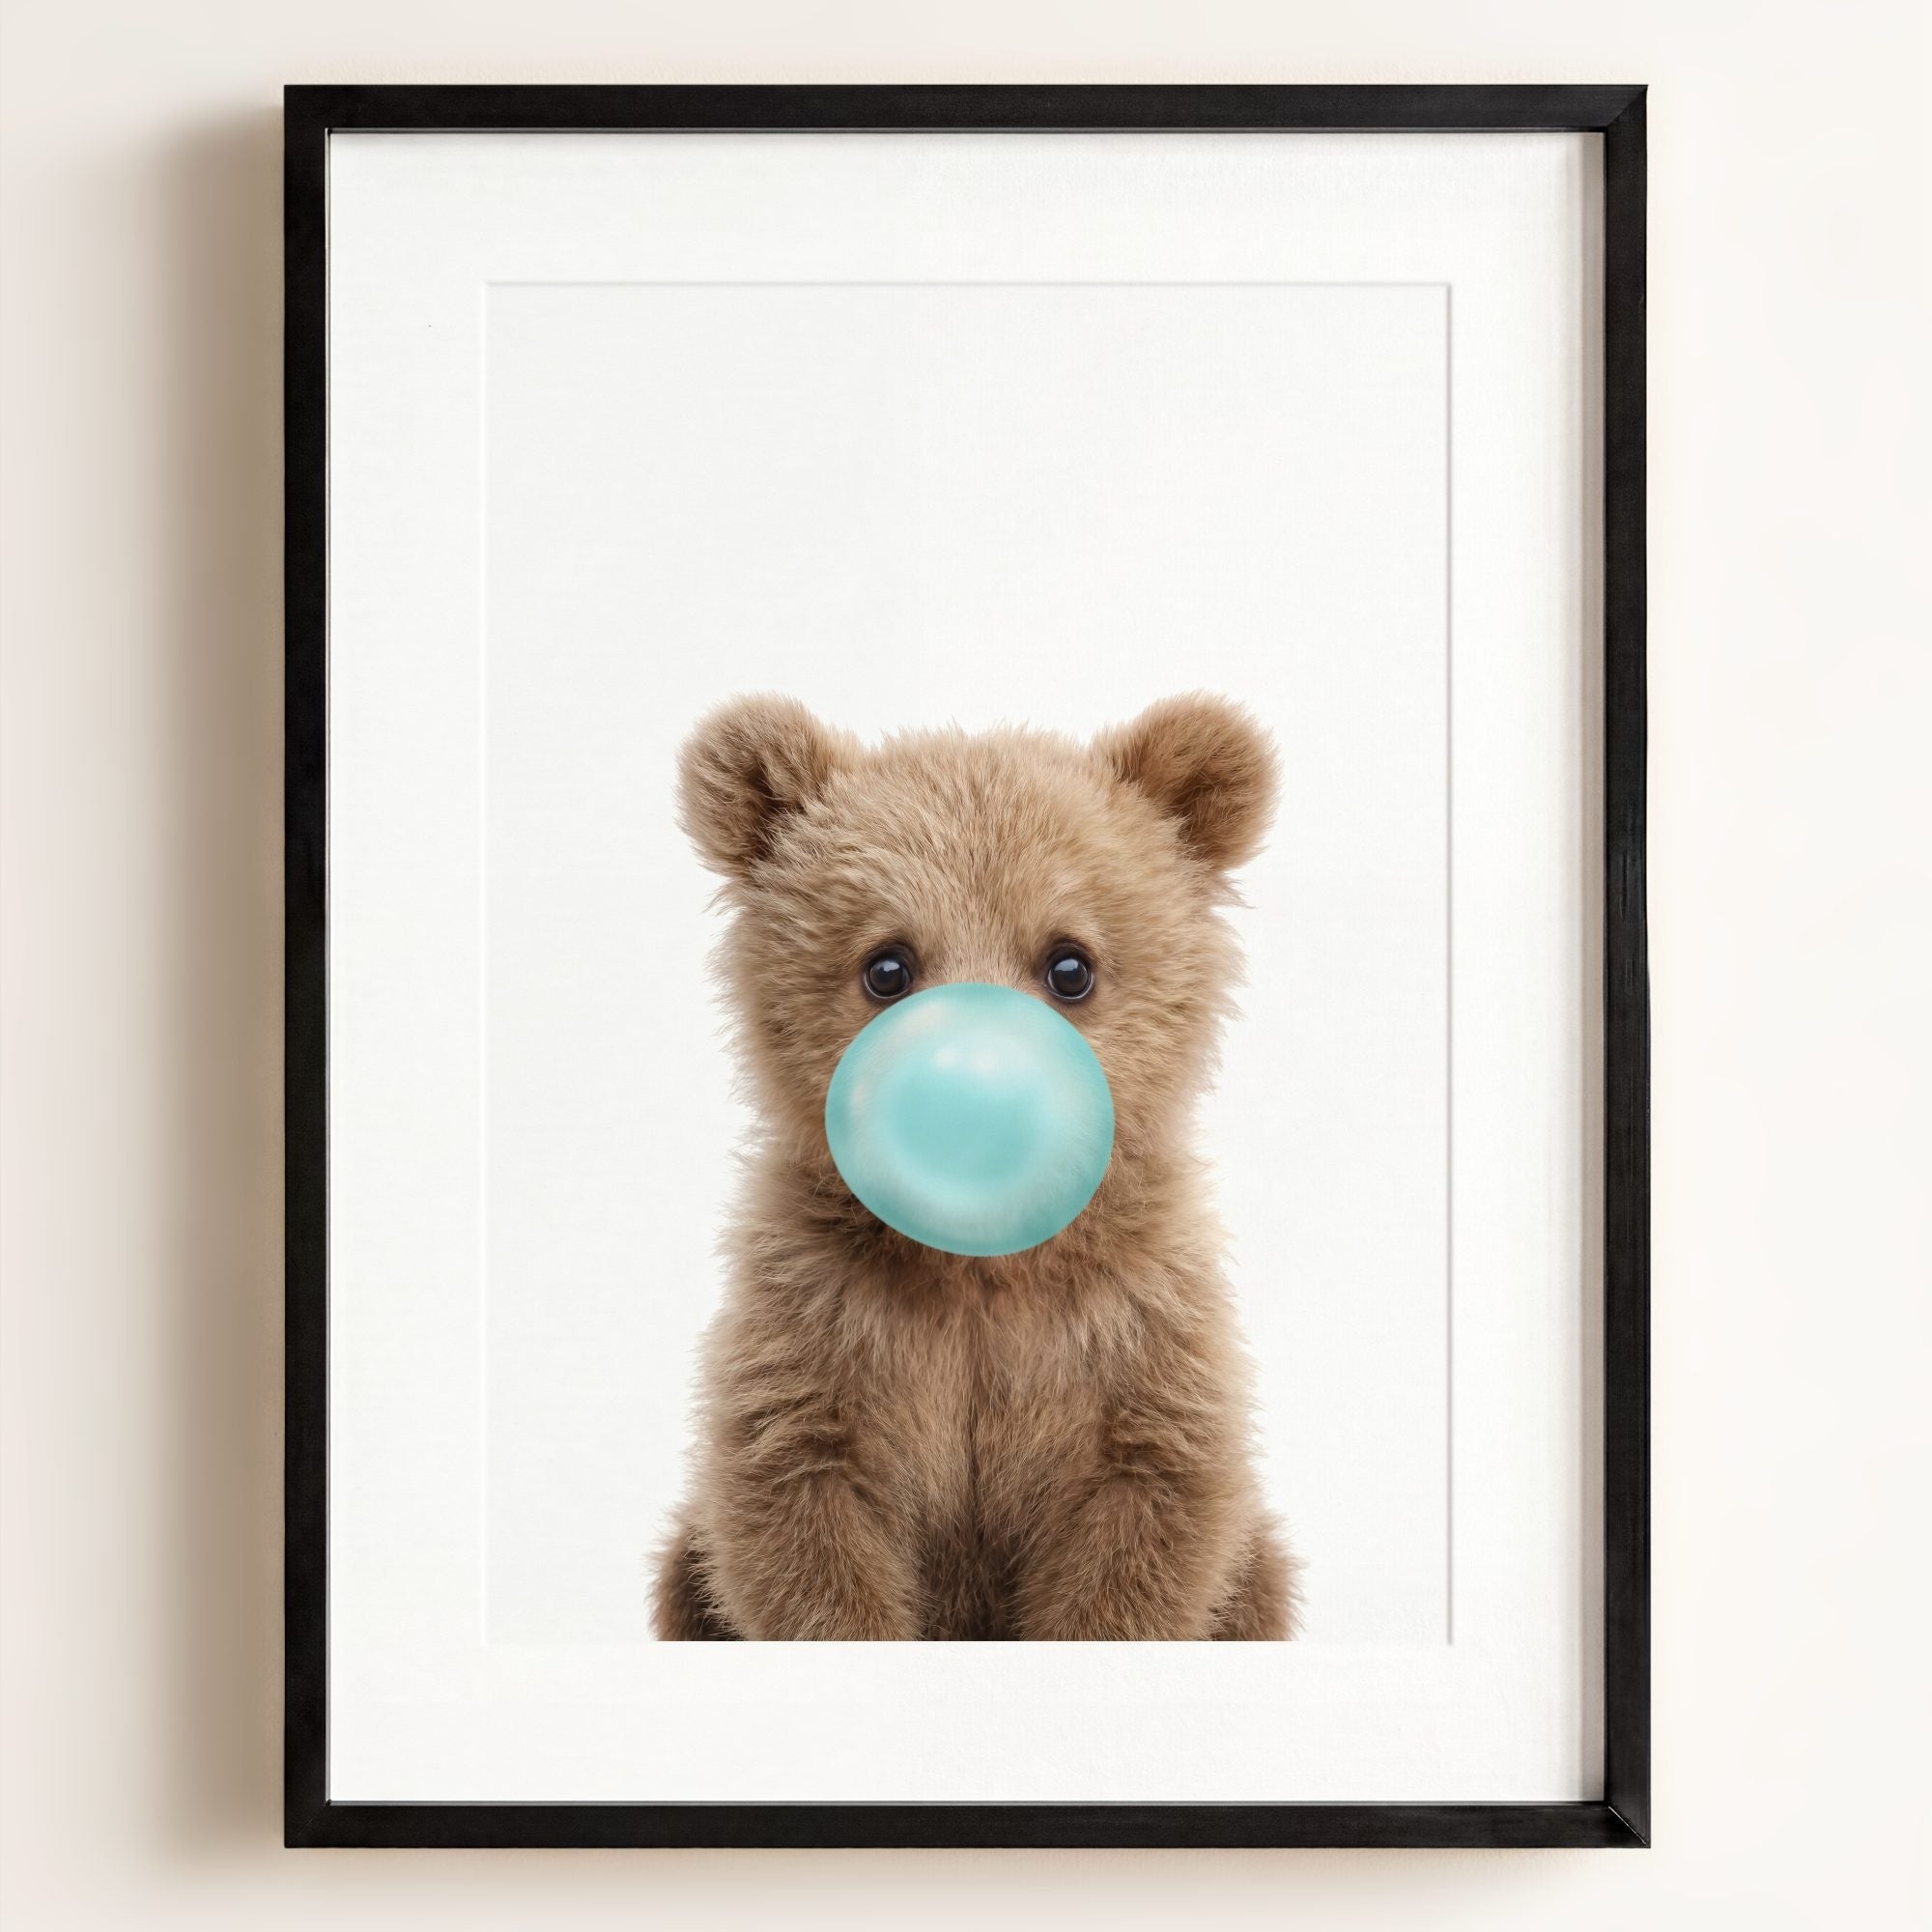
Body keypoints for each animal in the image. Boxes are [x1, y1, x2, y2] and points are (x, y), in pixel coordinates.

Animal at [652, 692, 1299, 1641]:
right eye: (887, 965)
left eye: (1070, 965)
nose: (972, 1100)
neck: (978, 1257)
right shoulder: (818, 1319)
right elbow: (799, 1508)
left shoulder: (1134, 1328)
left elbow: (1148, 1511)